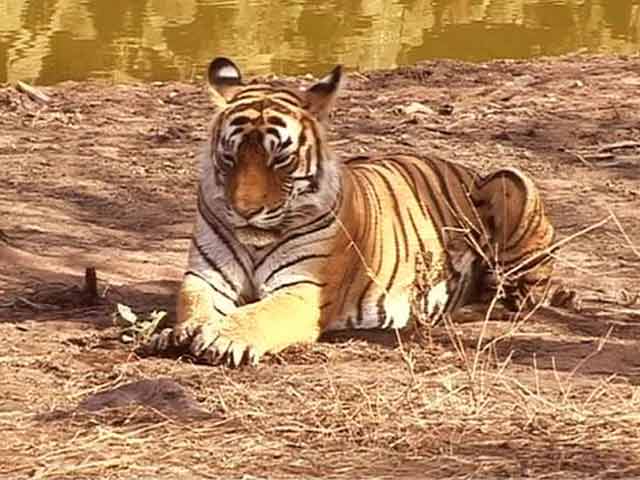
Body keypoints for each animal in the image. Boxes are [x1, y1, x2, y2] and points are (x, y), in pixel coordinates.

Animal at [147, 57, 562, 367]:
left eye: (279, 158)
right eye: (230, 157)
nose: (246, 211)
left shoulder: (303, 289)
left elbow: (260, 313)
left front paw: (223, 336)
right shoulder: (205, 277)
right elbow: (194, 304)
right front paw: (184, 331)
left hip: (513, 182)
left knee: (520, 296)